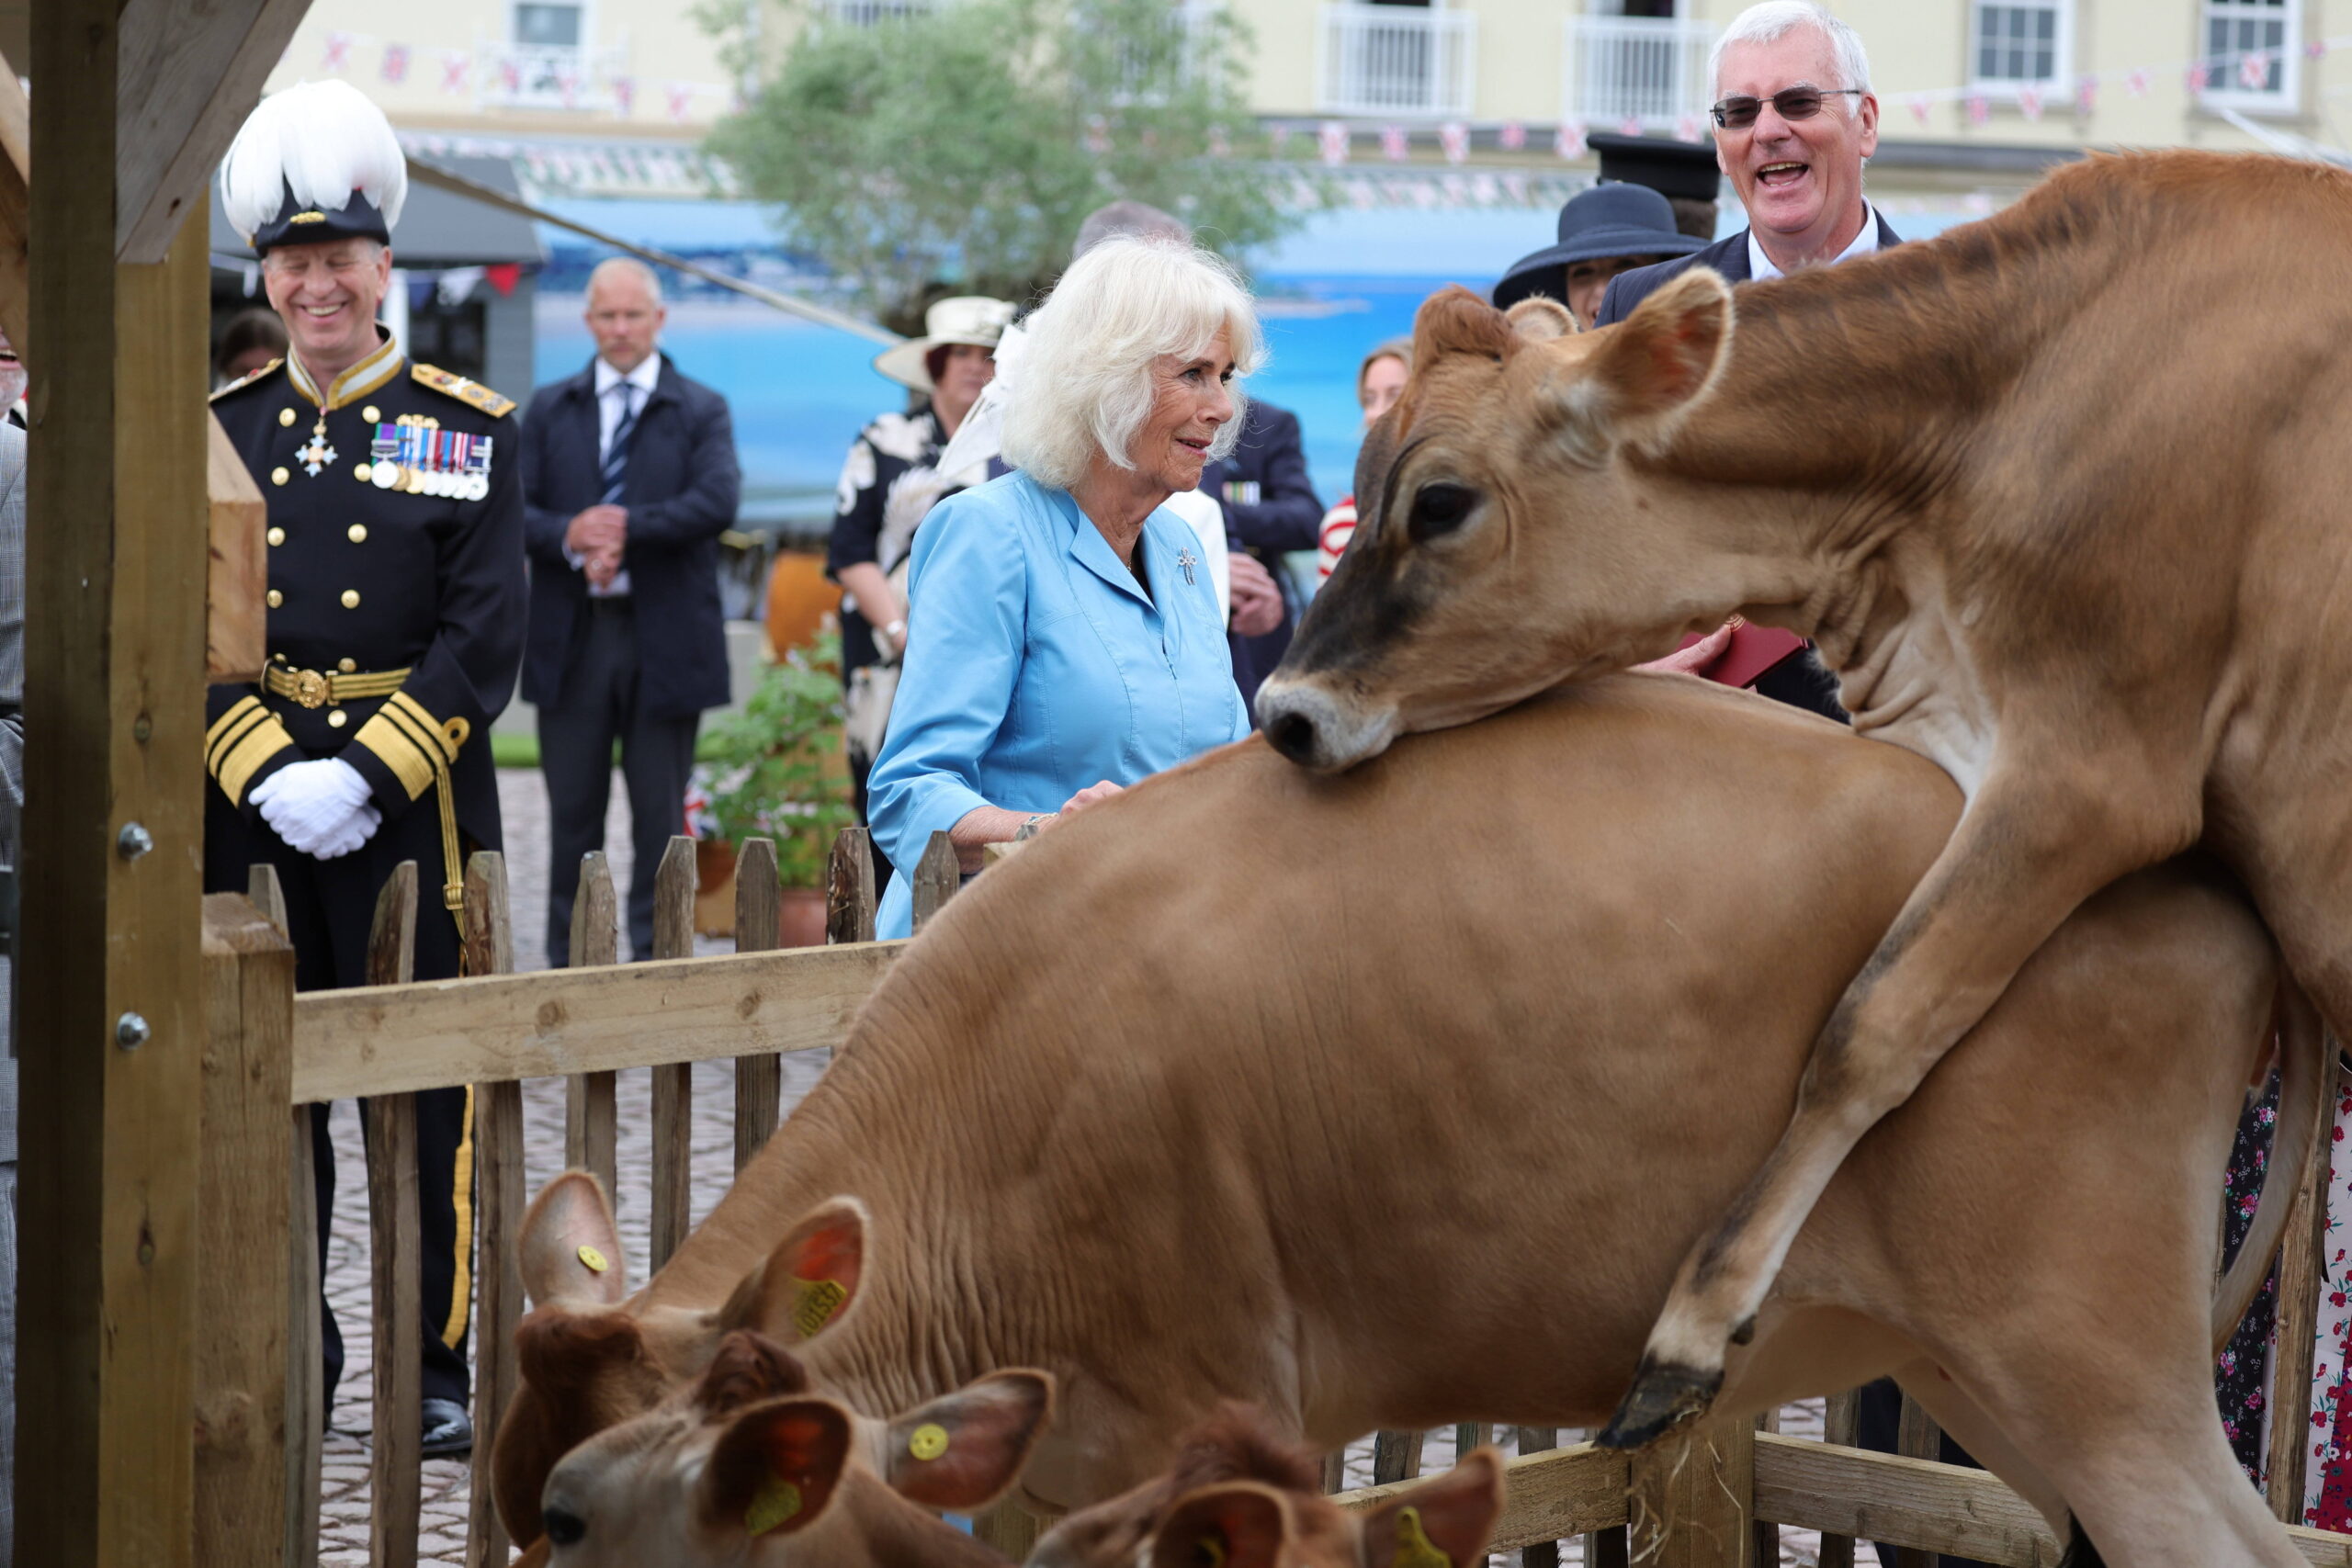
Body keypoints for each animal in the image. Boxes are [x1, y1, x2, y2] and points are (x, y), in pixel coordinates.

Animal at [496, 677, 2314, 1568]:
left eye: (594, 1520)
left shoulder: (1204, 1416)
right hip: (1988, 1371)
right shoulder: (1038, 1462)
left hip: (2091, 1365)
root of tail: (2204, 883)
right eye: (522, 1508)